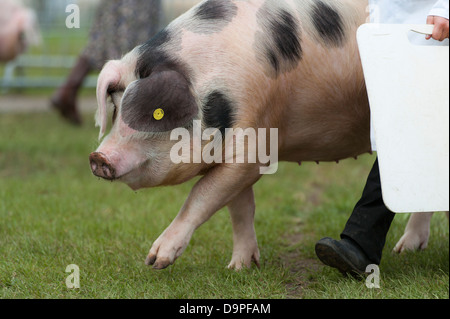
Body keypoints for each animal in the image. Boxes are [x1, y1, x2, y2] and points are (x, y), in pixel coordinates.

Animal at [89, 0, 372, 270]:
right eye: (116, 108)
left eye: (152, 114)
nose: (98, 157)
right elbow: (240, 208)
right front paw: (238, 268)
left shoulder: (253, 148)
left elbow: (200, 194)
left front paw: (155, 262)